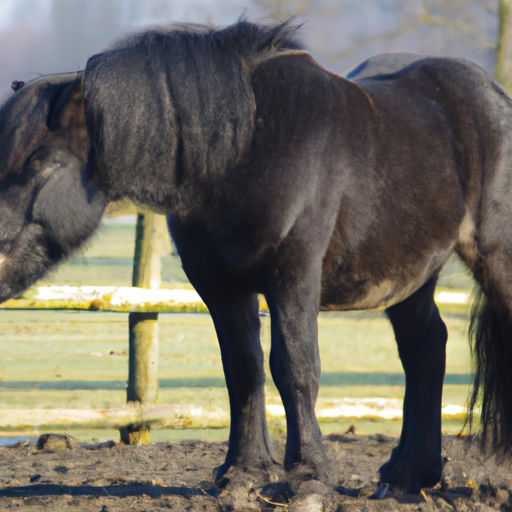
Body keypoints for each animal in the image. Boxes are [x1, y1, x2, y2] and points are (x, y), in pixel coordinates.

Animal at [1, 20, 512, 492]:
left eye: (42, 163)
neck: (246, 151)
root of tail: (492, 95)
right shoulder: (220, 287)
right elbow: (243, 370)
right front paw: (243, 469)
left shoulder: (293, 277)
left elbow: (295, 368)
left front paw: (307, 472)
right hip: (408, 276)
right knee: (426, 347)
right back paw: (409, 474)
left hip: (494, 257)